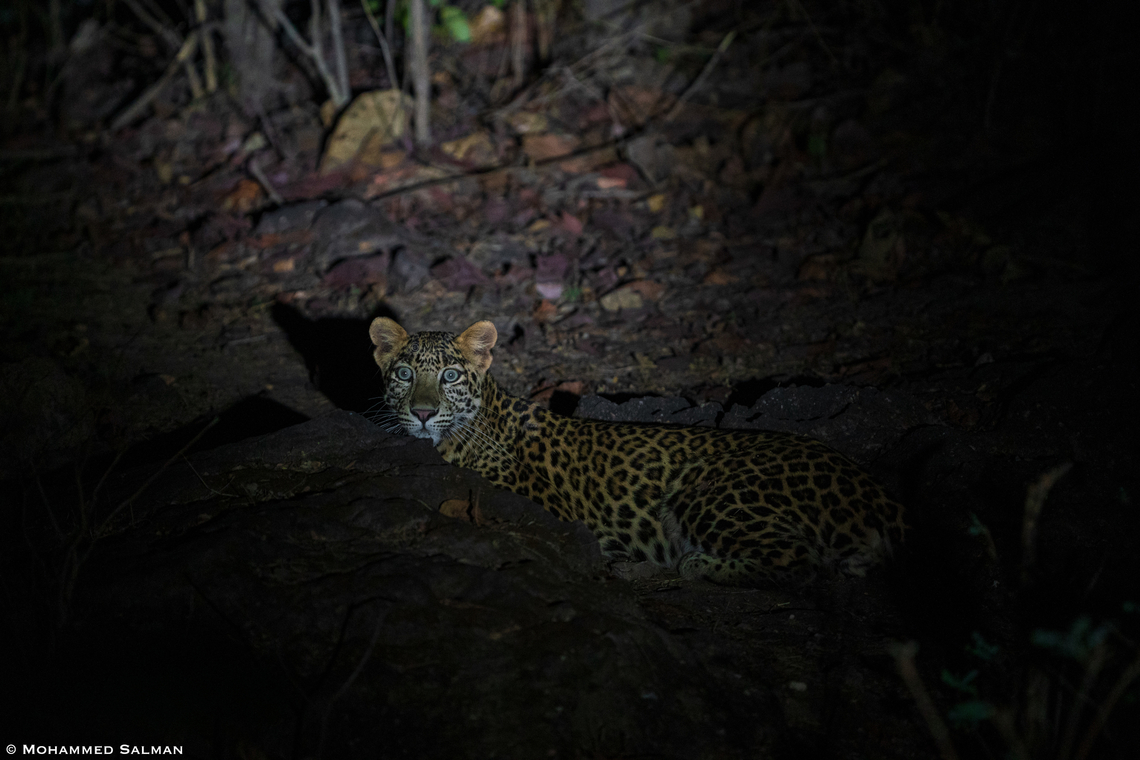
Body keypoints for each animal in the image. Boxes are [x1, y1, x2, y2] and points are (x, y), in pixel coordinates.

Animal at [368, 318, 906, 585]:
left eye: (450, 376)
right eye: (404, 374)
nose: (421, 413)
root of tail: (878, 492)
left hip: (707, 492)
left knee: (804, 562)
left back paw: (696, 566)